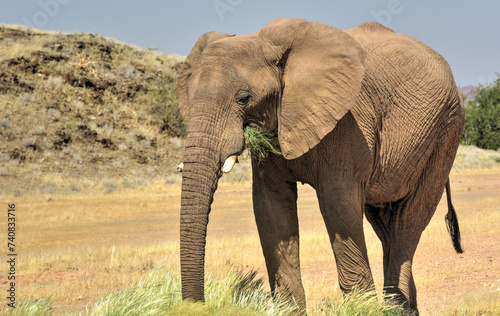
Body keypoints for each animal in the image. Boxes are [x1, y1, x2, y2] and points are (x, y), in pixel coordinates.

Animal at [176, 17, 464, 314]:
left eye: (244, 98)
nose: (194, 306)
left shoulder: (348, 122)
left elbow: (339, 204)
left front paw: (361, 307)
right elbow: (270, 207)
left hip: (445, 131)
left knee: (407, 221)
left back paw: (395, 307)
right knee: (385, 224)